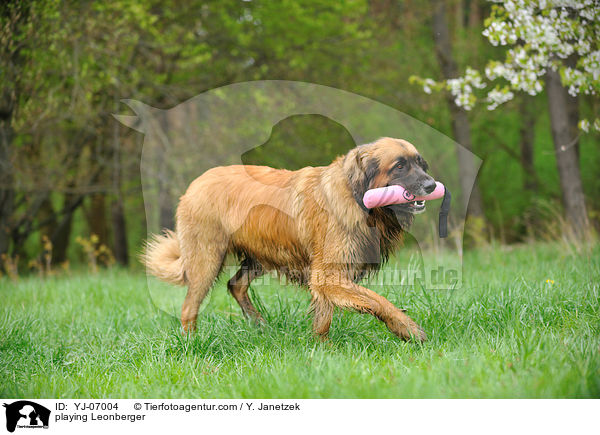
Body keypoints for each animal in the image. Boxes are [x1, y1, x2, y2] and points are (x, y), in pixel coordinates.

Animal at [144, 138, 436, 342]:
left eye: (421, 164)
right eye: (400, 166)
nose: (432, 185)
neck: (357, 195)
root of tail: (195, 184)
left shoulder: (324, 277)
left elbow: (323, 317)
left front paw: (322, 350)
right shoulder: (328, 275)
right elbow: (377, 300)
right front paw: (408, 329)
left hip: (263, 255)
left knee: (235, 285)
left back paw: (258, 324)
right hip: (207, 261)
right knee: (189, 307)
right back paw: (192, 342)